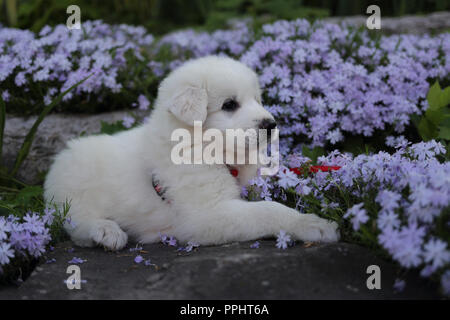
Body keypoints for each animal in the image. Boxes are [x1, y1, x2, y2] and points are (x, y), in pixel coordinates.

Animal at [44, 55, 338, 250]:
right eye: (229, 104)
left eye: (256, 99)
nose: (271, 125)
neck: (207, 149)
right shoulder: (206, 214)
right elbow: (267, 210)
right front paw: (313, 224)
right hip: (73, 195)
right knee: (74, 224)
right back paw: (106, 232)